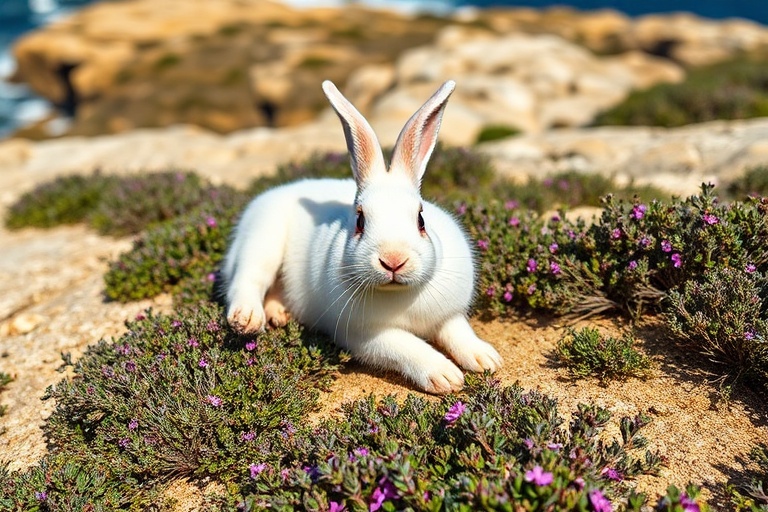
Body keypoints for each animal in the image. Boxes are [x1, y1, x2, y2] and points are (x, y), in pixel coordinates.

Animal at [221, 79, 502, 394]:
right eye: (359, 221)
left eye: (421, 219)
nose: (393, 261)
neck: (398, 294)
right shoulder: (367, 337)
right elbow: (408, 347)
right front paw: (445, 376)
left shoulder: (449, 316)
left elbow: (458, 332)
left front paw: (485, 359)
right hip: (262, 243)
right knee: (247, 280)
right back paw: (247, 319)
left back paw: (279, 313)